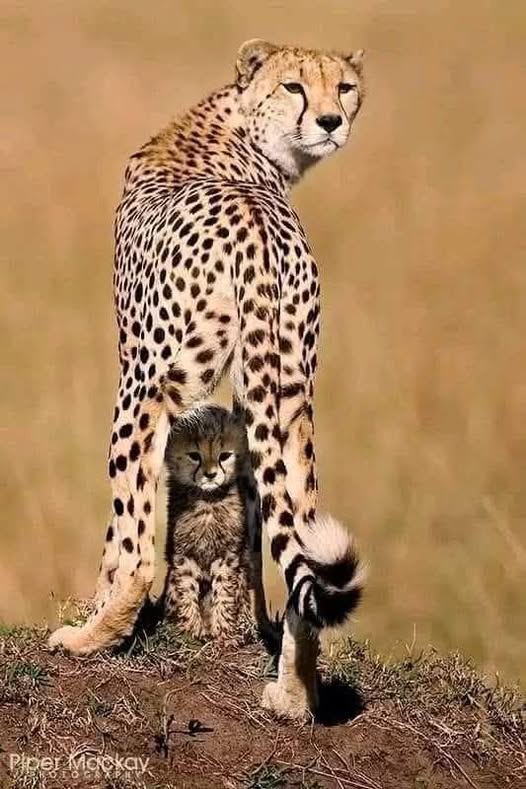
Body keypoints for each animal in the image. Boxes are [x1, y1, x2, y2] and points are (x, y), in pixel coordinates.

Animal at [49, 39, 367, 720]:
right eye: (296, 86)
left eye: (345, 87)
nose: (331, 120)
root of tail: (254, 223)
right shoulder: (257, 403)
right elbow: (257, 527)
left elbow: (120, 535)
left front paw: (98, 617)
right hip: (290, 396)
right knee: (302, 534)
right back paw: (294, 695)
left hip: (146, 387)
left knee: (138, 546)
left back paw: (90, 639)